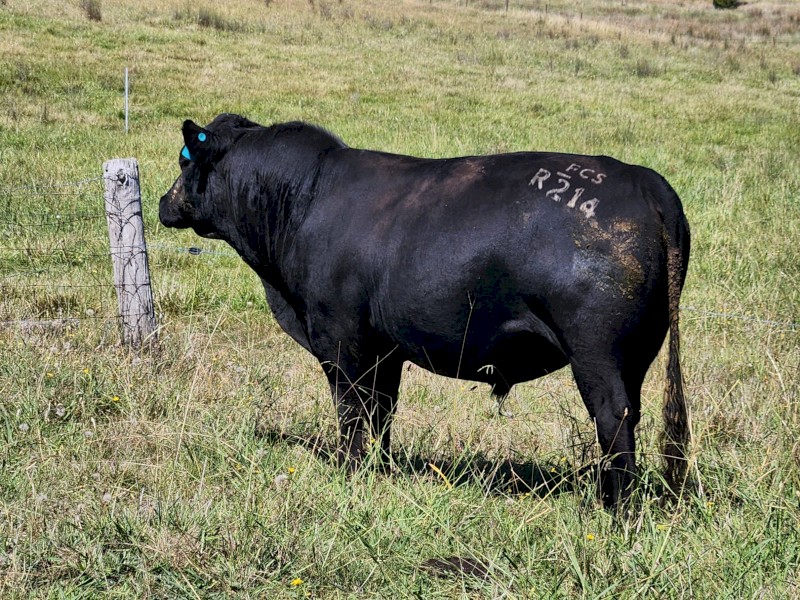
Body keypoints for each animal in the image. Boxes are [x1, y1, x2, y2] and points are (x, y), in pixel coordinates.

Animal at [159, 113, 691, 508]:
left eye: (185, 157)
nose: (165, 203)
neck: (306, 197)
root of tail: (645, 181)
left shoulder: (340, 341)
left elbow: (352, 411)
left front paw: (351, 473)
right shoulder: (384, 349)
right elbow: (382, 411)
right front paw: (379, 468)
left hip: (596, 352)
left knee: (613, 418)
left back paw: (616, 508)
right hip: (638, 353)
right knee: (630, 418)